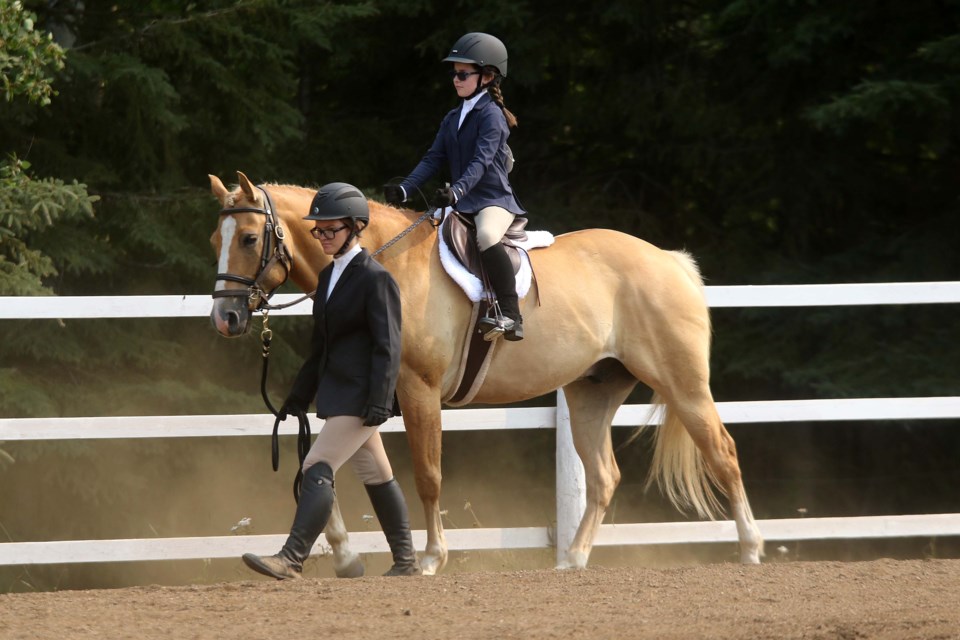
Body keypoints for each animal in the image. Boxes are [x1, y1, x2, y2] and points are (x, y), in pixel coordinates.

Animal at [210, 170, 764, 576]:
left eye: (250, 238)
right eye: (217, 237)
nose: (225, 319)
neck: (383, 261)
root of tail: (669, 259)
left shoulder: (418, 390)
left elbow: (428, 475)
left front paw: (431, 559)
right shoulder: (375, 395)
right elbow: (326, 466)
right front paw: (346, 555)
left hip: (683, 386)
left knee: (724, 454)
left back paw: (750, 549)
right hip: (592, 392)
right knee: (605, 476)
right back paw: (573, 560)